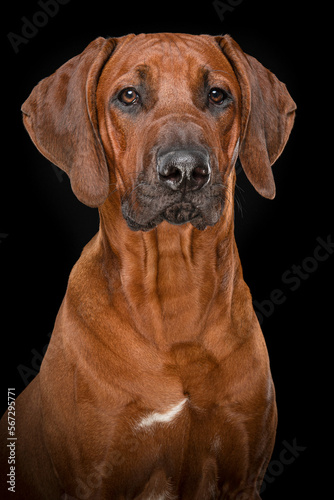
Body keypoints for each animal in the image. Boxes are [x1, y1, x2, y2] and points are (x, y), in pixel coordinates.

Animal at [0, 33, 294, 498]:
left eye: (217, 95)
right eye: (129, 96)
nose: (186, 170)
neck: (174, 290)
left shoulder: (243, 478)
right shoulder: (94, 479)